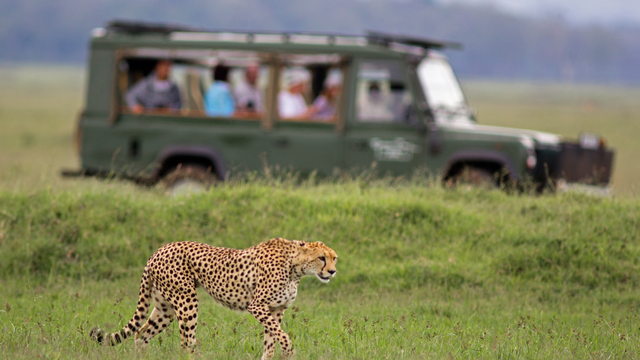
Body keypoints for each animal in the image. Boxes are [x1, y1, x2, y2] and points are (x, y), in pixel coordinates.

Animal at [91, 238, 340, 358]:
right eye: (321, 258)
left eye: (334, 258)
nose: (332, 272)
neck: (295, 266)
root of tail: (158, 250)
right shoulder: (257, 306)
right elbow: (283, 337)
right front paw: (289, 351)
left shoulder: (276, 310)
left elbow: (271, 340)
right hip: (187, 300)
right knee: (186, 342)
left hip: (165, 308)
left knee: (141, 334)